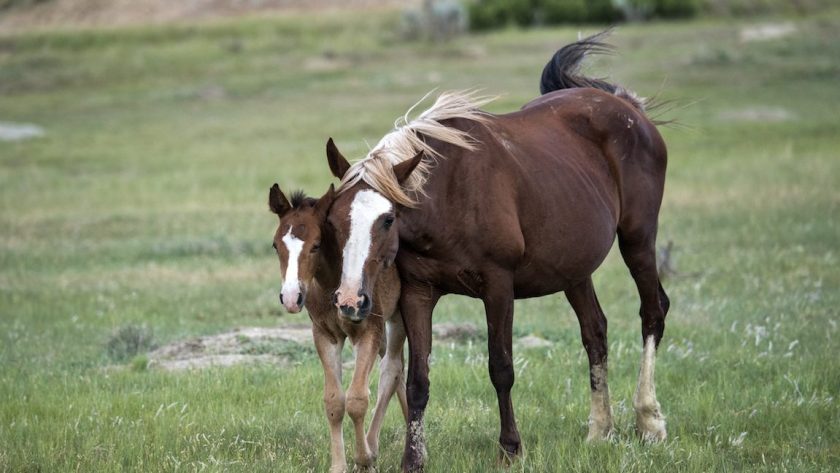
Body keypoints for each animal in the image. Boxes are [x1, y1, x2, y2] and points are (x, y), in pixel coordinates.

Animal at [268, 183, 409, 472]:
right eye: (276, 245)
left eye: (316, 245)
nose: (291, 298)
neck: (333, 284)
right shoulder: (325, 335)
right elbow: (334, 401)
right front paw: (339, 465)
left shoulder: (367, 331)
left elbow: (357, 398)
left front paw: (364, 459)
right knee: (397, 369)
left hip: (395, 319)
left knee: (391, 370)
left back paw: (376, 445)